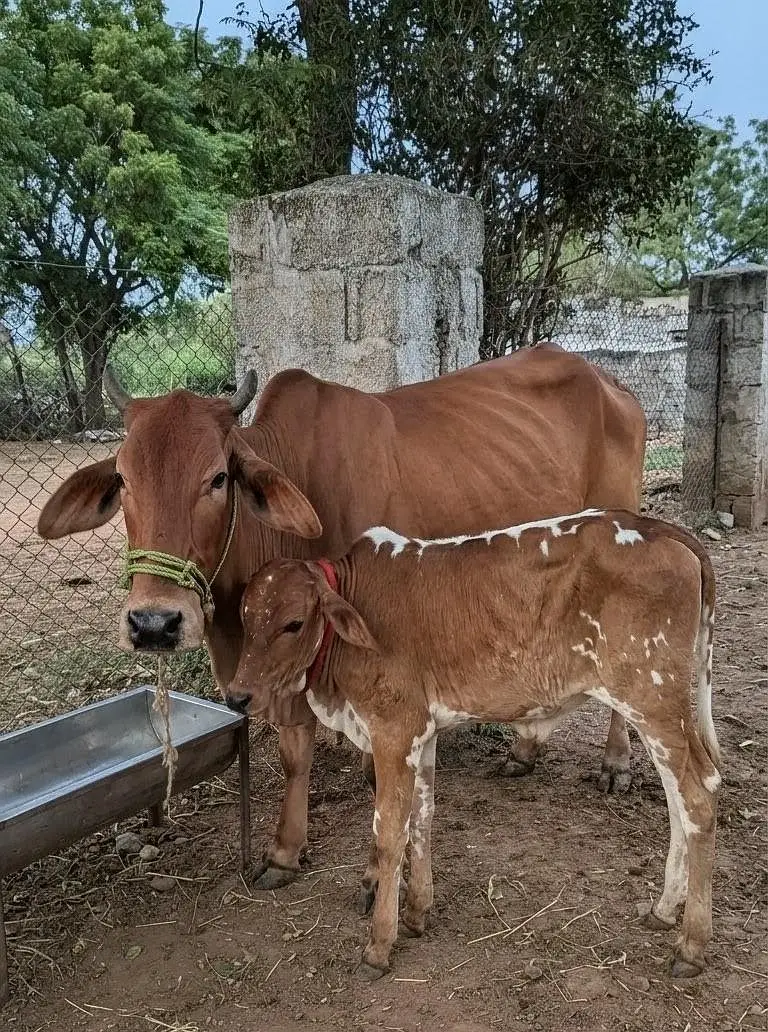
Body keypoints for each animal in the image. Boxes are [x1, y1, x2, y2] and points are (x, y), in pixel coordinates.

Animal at [36, 345, 646, 892]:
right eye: (123, 479)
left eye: (217, 478)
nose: (154, 623)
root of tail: (607, 380)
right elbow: (293, 751)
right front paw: (285, 849)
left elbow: (364, 762)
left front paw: (363, 869)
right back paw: (524, 751)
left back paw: (616, 762)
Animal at [226, 509, 721, 980]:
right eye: (245, 619)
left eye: (293, 624)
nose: (237, 695)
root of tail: (658, 527)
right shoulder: (422, 734)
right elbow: (421, 820)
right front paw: (417, 912)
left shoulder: (393, 732)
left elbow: (389, 836)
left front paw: (379, 945)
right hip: (657, 712)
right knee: (680, 800)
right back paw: (664, 910)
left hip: (653, 700)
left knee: (698, 799)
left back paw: (692, 945)